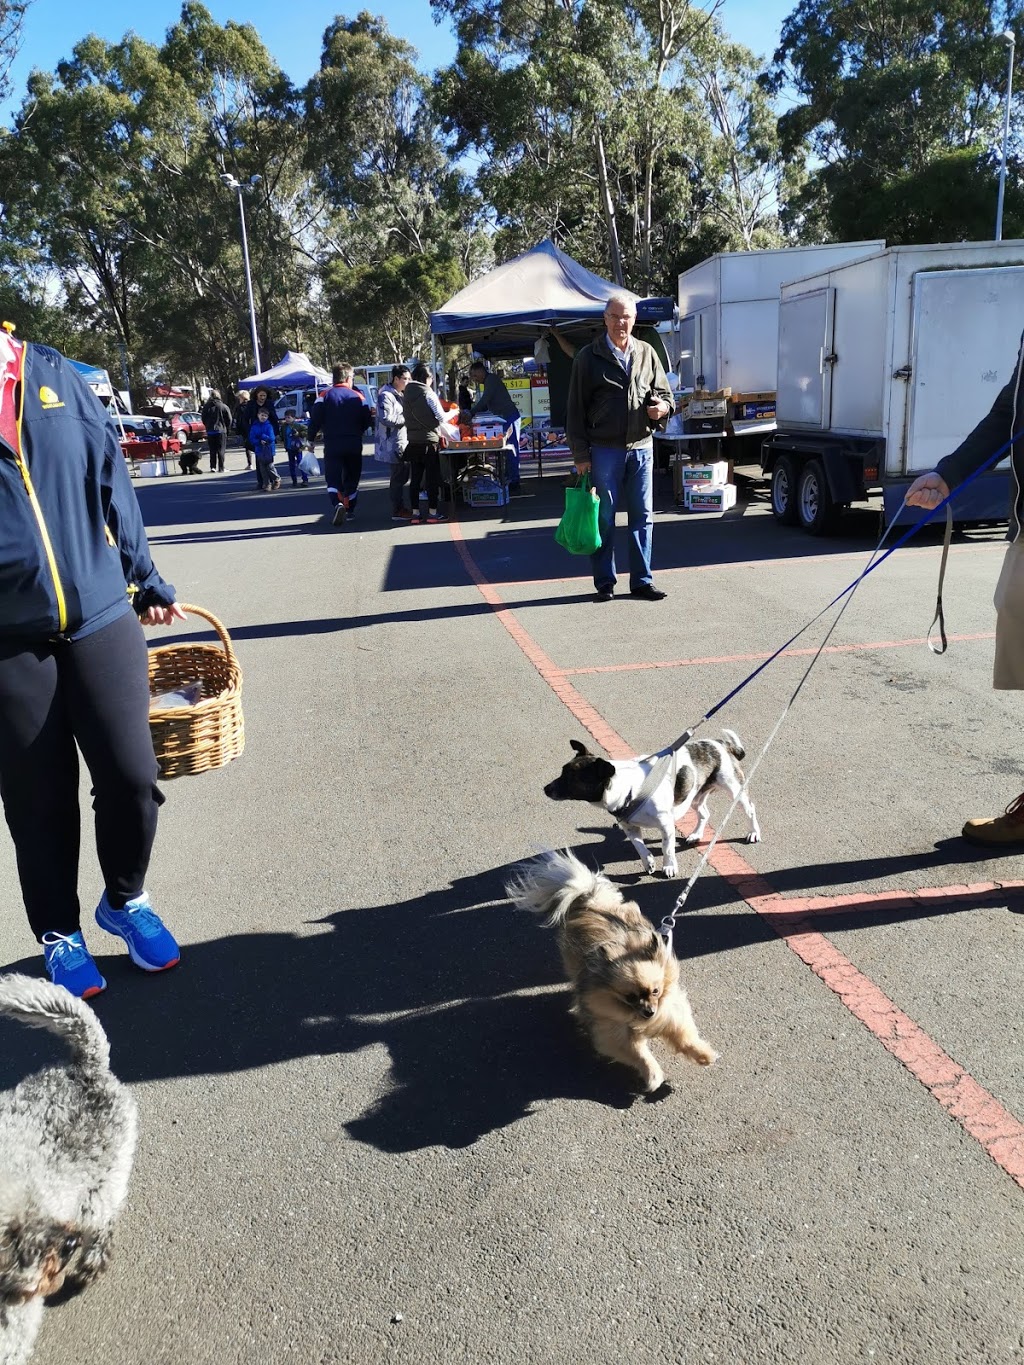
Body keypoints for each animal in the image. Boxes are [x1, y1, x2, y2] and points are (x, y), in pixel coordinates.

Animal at [0, 977, 137, 1359]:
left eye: (33, 1206)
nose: (67, 1245)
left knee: (104, 1221)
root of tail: (84, 1067)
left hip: (98, 1187)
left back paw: (92, 1260)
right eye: (7, 1237)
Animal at [507, 846, 715, 1092]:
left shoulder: (669, 1012)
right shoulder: (613, 1030)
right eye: (630, 997)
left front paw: (704, 1055)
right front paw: (653, 1075)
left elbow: (685, 1037)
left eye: (656, 991)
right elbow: (639, 1054)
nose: (649, 1012)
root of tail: (589, 900)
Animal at [546, 731, 764, 879]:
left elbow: (667, 848)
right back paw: (695, 835)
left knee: (751, 809)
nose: (545, 789)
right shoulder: (630, 828)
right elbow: (639, 846)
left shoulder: (666, 826)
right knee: (704, 813)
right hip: (694, 795)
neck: (629, 788)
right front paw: (649, 862)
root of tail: (721, 743)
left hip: (734, 789)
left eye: (571, 778)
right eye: (562, 771)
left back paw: (753, 833)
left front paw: (669, 867)